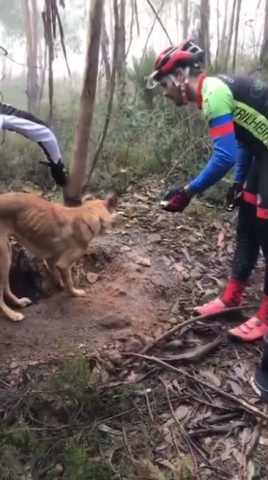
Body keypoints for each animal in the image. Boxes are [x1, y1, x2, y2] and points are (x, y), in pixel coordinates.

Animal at [0, 191, 118, 322]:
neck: (89, 214)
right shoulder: (64, 264)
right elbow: (69, 281)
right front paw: (74, 293)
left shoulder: (51, 258)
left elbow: (54, 272)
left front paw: (59, 284)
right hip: (3, 258)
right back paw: (12, 314)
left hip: (8, 254)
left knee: (6, 287)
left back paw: (18, 302)